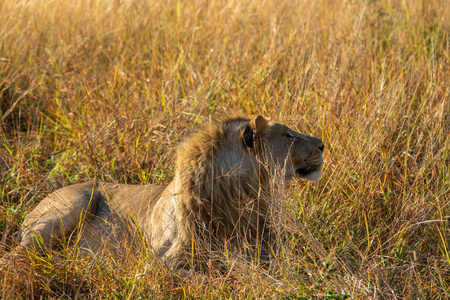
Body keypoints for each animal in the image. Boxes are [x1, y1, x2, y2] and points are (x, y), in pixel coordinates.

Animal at [4, 112, 324, 270]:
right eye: (289, 135)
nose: (322, 144)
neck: (240, 195)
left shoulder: (270, 252)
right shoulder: (164, 261)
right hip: (71, 206)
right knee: (12, 258)